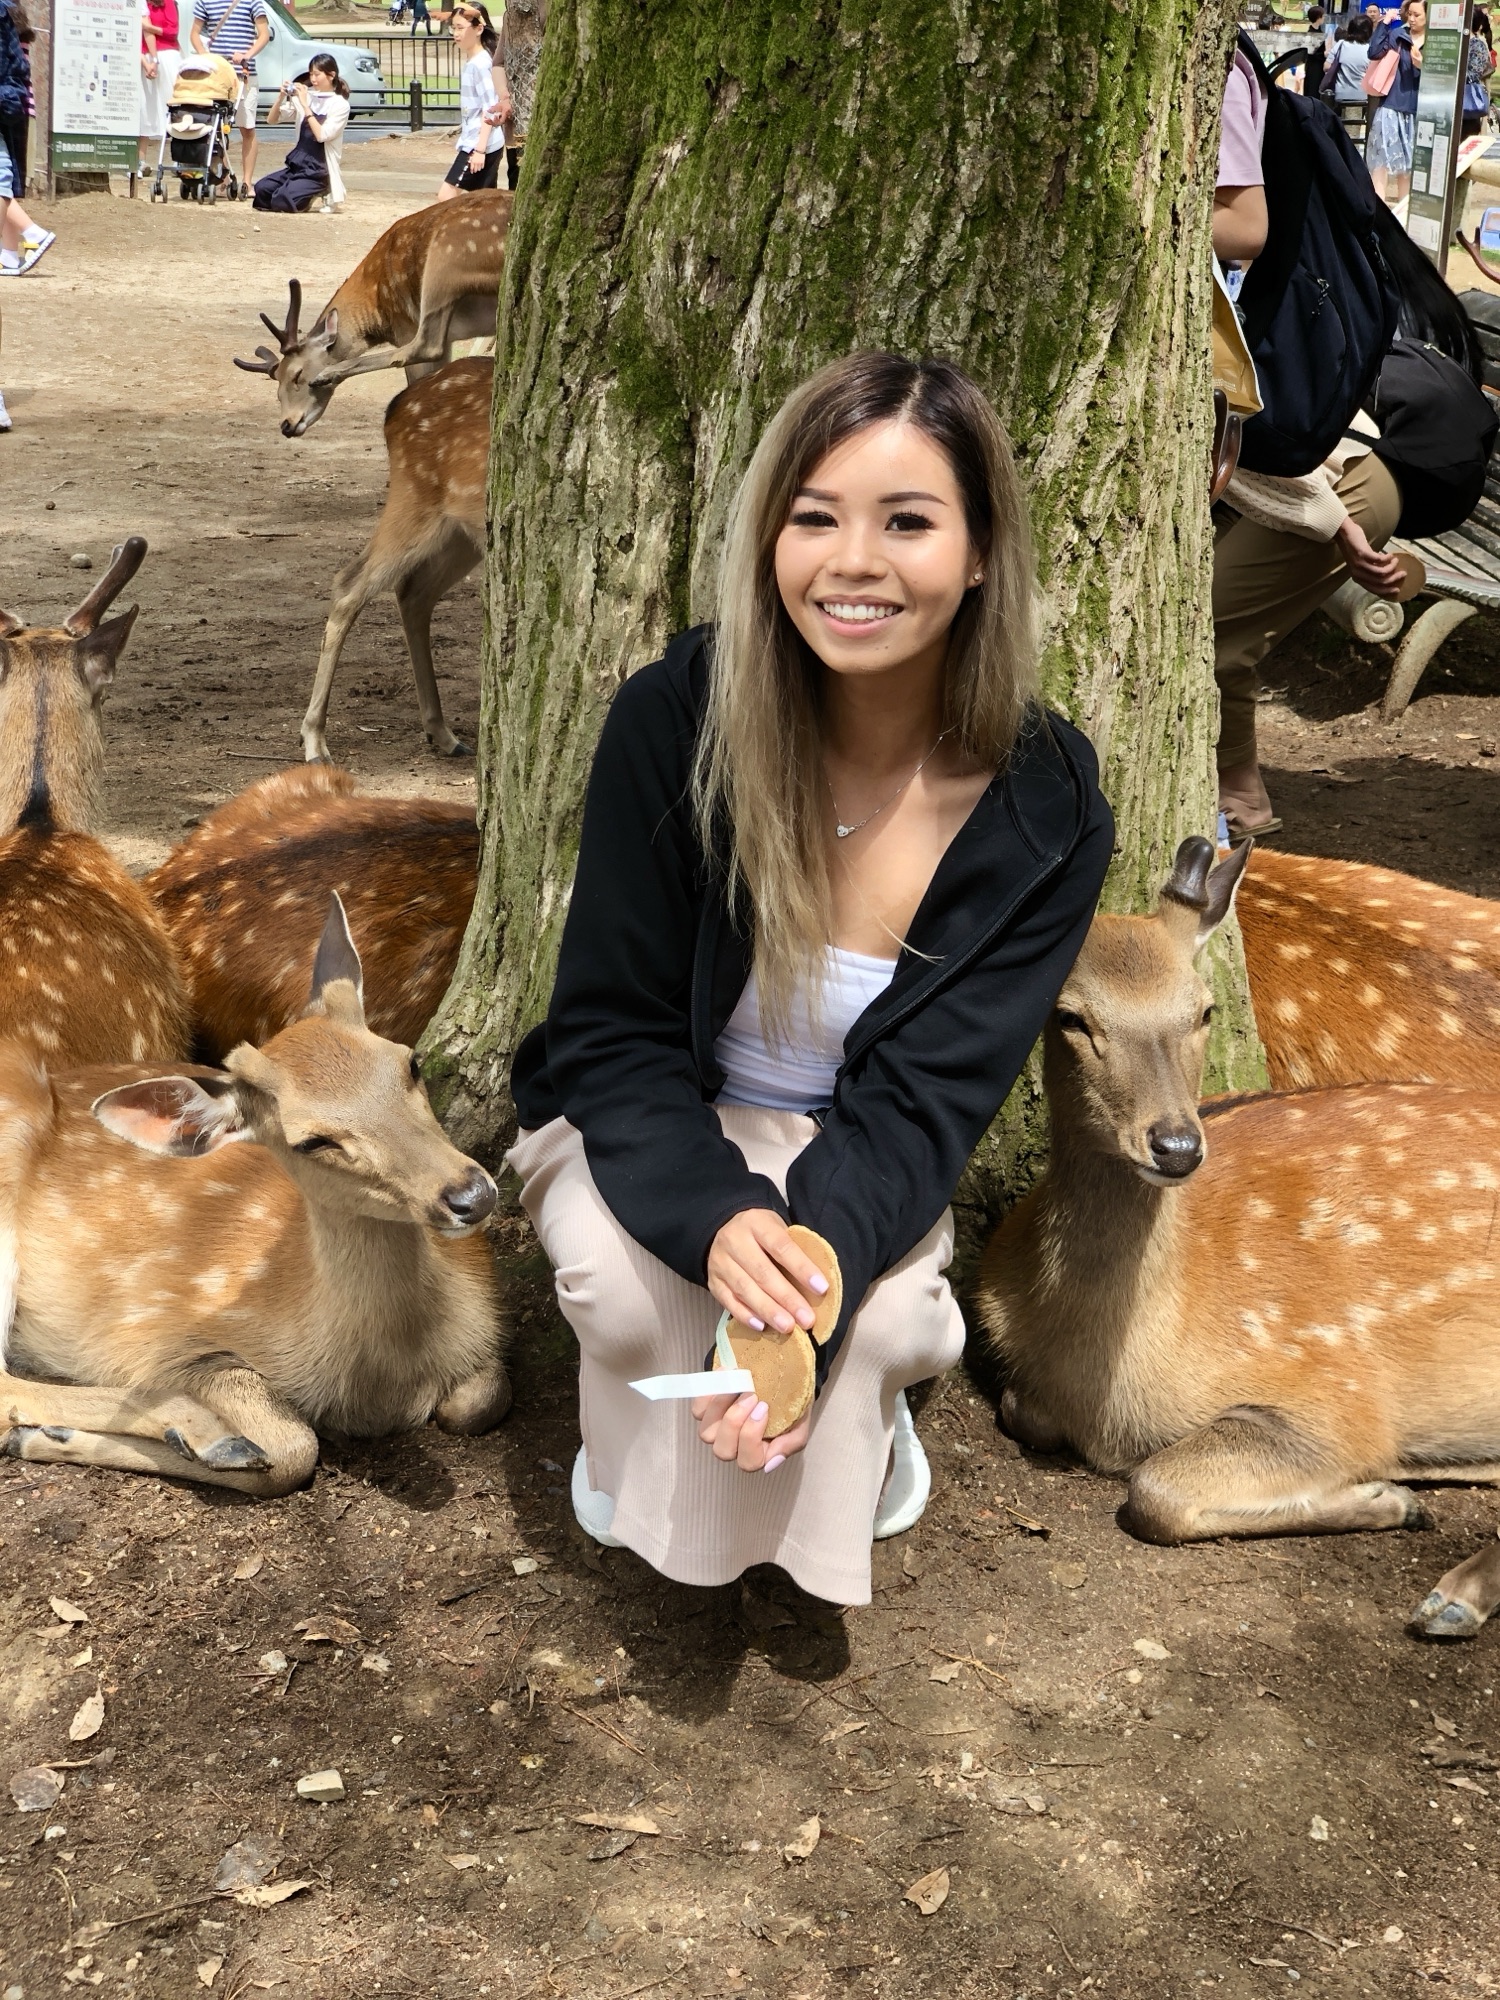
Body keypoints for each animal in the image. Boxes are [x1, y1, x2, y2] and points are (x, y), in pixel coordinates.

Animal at [0, 897, 510, 1496]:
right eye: (311, 1140)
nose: (471, 1194)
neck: (385, 1380)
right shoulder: (171, 1341)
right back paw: (206, 1438)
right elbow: (291, 1446)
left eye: (410, 1062)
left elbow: (478, 1401)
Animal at [233, 192, 510, 437]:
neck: (377, 308)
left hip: (446, 256)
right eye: (276, 389)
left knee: (425, 345)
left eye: (297, 374)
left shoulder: (406, 324)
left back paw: (329, 373)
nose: (287, 425)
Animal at [297, 355, 489, 762]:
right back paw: (315, 740)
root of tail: (396, 405)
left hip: (462, 530)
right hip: (415, 496)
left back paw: (443, 734)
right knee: (349, 583)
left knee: (414, 591)